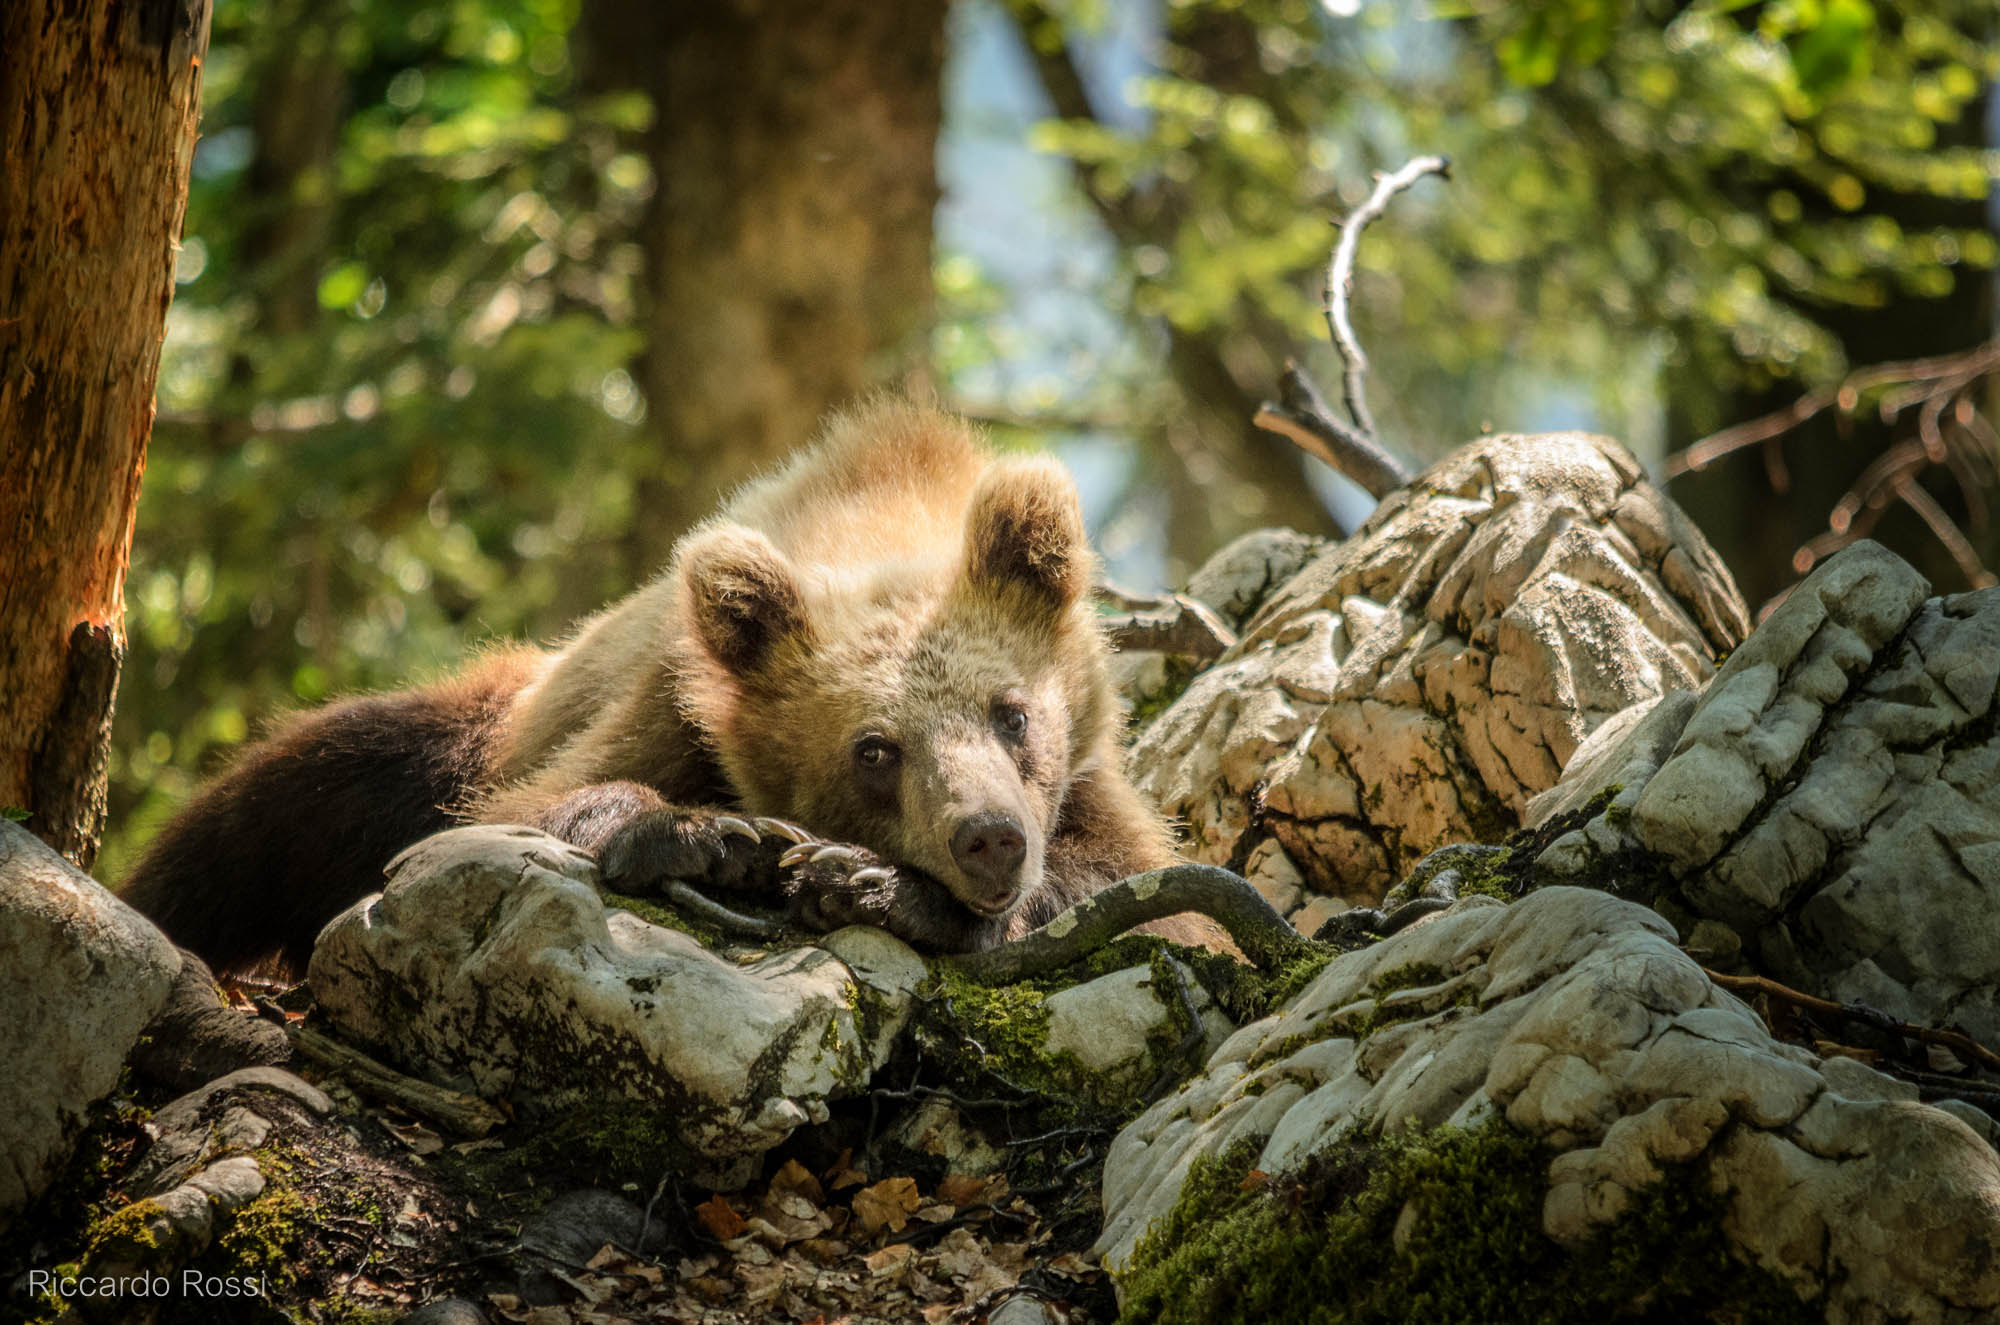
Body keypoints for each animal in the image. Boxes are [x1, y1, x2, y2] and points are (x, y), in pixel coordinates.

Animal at [119, 396, 1197, 973]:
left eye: (1011, 713)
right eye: (874, 748)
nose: (987, 837)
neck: (882, 511)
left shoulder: (1088, 784)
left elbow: (1152, 894)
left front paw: (870, 881)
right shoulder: (667, 701)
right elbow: (525, 807)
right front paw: (712, 836)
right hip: (464, 718)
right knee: (262, 809)